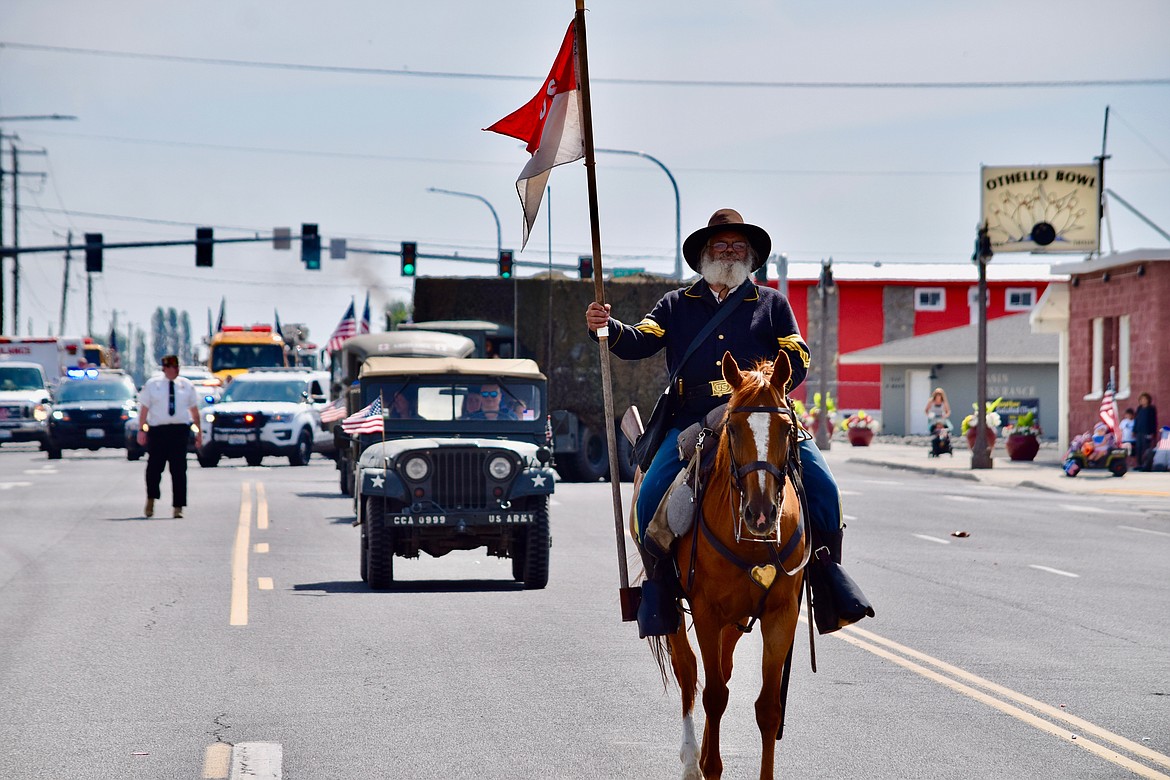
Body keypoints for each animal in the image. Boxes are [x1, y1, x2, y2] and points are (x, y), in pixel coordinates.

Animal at [664, 353, 809, 780]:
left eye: (786, 428)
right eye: (733, 427)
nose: (760, 515)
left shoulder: (781, 613)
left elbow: (768, 707)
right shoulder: (706, 611)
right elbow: (712, 694)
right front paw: (708, 764)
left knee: (723, 670)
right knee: (689, 672)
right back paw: (690, 759)